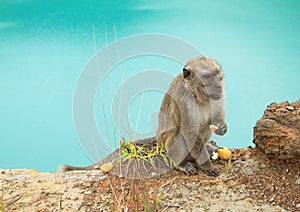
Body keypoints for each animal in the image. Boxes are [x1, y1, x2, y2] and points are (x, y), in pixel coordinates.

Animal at [59, 55, 226, 176]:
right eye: (208, 77)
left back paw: (209, 147)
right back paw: (181, 164)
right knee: (176, 134)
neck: (197, 95)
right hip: (165, 145)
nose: (218, 86)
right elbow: (190, 132)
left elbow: (215, 117)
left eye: (217, 74)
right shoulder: (183, 98)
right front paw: (206, 166)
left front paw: (222, 127)